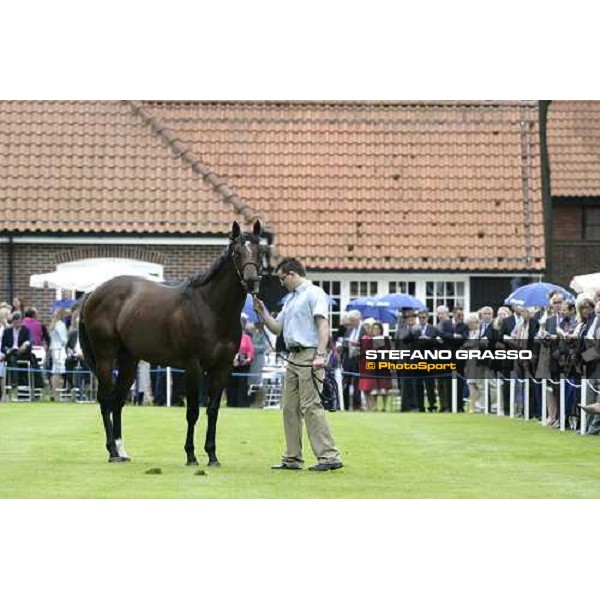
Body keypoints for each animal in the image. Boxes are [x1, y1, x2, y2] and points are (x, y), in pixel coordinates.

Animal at [78, 223, 264, 466]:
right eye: (237, 252)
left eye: (260, 251)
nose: (251, 281)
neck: (210, 307)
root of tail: (93, 293)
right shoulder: (193, 366)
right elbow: (193, 411)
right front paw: (191, 455)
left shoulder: (223, 368)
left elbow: (213, 410)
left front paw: (212, 455)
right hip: (105, 357)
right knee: (106, 399)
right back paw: (112, 452)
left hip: (129, 360)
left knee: (118, 400)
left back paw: (121, 451)